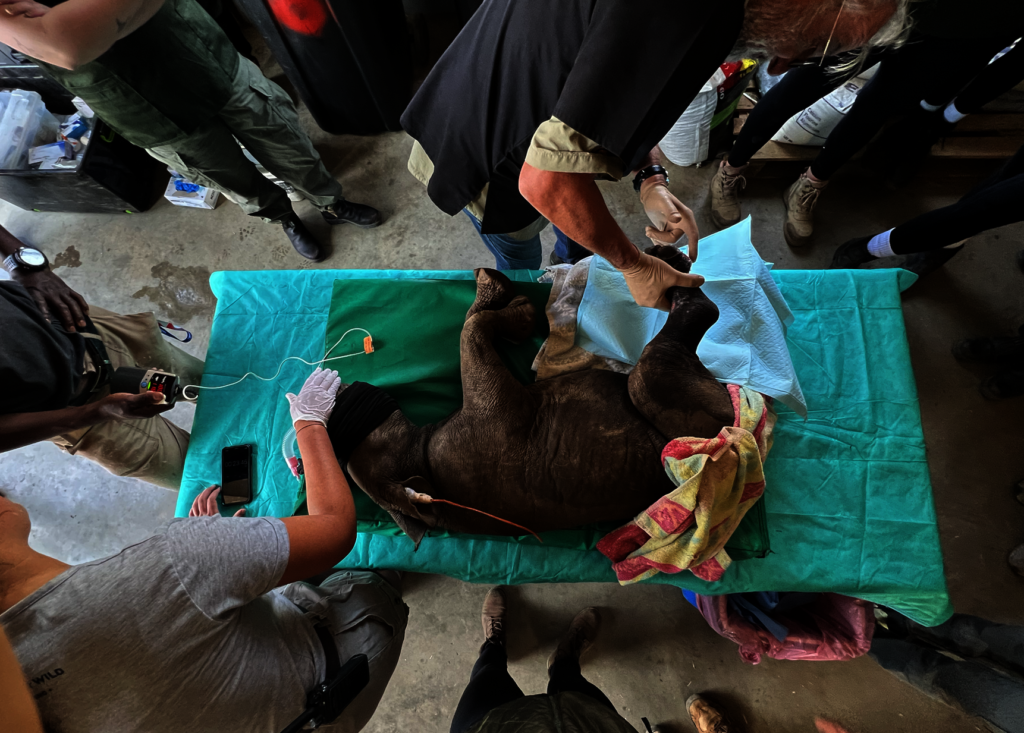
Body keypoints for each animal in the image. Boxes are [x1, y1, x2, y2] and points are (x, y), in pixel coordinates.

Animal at [330, 246, 734, 546]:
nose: (341, 390)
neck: (420, 459)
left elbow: (472, 320)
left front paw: (490, 292)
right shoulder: (487, 394)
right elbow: (472, 327)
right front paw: (511, 308)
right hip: (674, 396)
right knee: (675, 343)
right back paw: (671, 267)